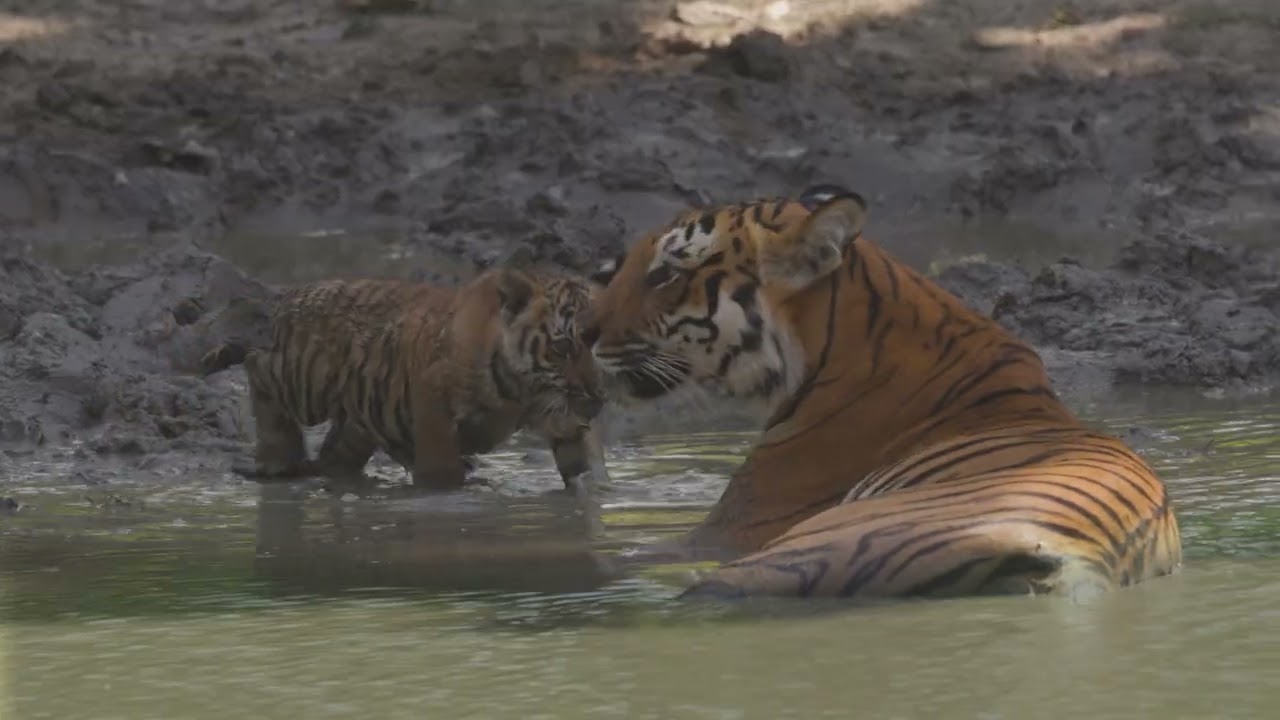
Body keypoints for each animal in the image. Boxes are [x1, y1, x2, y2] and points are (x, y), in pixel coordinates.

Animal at [200, 266, 608, 491]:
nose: (596, 393)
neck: (525, 392)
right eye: (563, 347)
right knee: (257, 366)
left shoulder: (564, 416)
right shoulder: (434, 400)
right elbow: (440, 468)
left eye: (600, 344)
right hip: (304, 383)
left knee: (336, 456)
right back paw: (277, 456)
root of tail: (291, 295)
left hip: (359, 420)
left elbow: (583, 465)